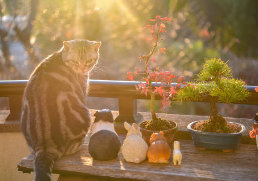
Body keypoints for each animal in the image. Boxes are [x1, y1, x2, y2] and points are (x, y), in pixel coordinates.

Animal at [20, 39, 101, 180]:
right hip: (86, 114)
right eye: (75, 61)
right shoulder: (83, 90)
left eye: (88, 61)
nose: (82, 68)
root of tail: (46, 145)